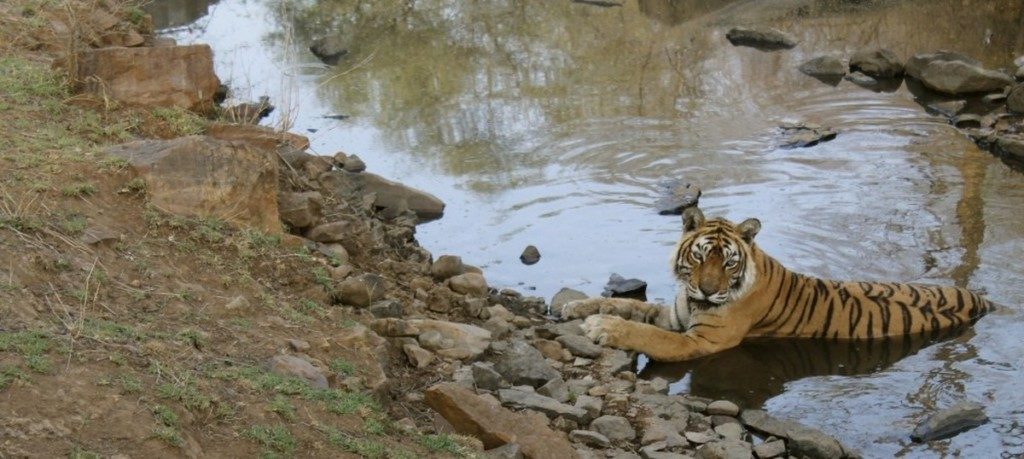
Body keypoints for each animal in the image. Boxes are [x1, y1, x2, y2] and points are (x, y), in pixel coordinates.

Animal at [561, 206, 993, 362]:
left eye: (728, 261)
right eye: (700, 256)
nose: (706, 290)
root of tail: (983, 299)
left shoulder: (701, 341)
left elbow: (642, 331)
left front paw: (601, 327)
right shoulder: (674, 315)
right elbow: (630, 306)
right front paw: (577, 307)